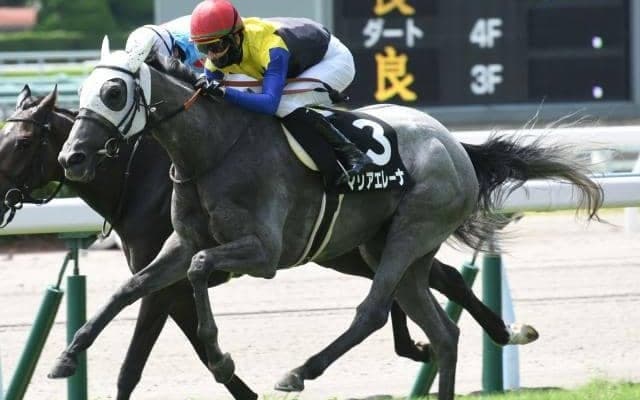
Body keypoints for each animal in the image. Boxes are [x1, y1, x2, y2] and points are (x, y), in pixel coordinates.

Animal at [53, 39, 602, 399]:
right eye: (80, 95)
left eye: (114, 93)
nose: (71, 158)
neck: (212, 151)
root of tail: (454, 144)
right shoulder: (180, 243)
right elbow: (131, 288)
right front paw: (67, 355)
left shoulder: (264, 253)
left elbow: (198, 271)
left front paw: (221, 357)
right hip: (389, 249)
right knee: (444, 333)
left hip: (410, 232)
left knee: (373, 310)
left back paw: (299, 371)